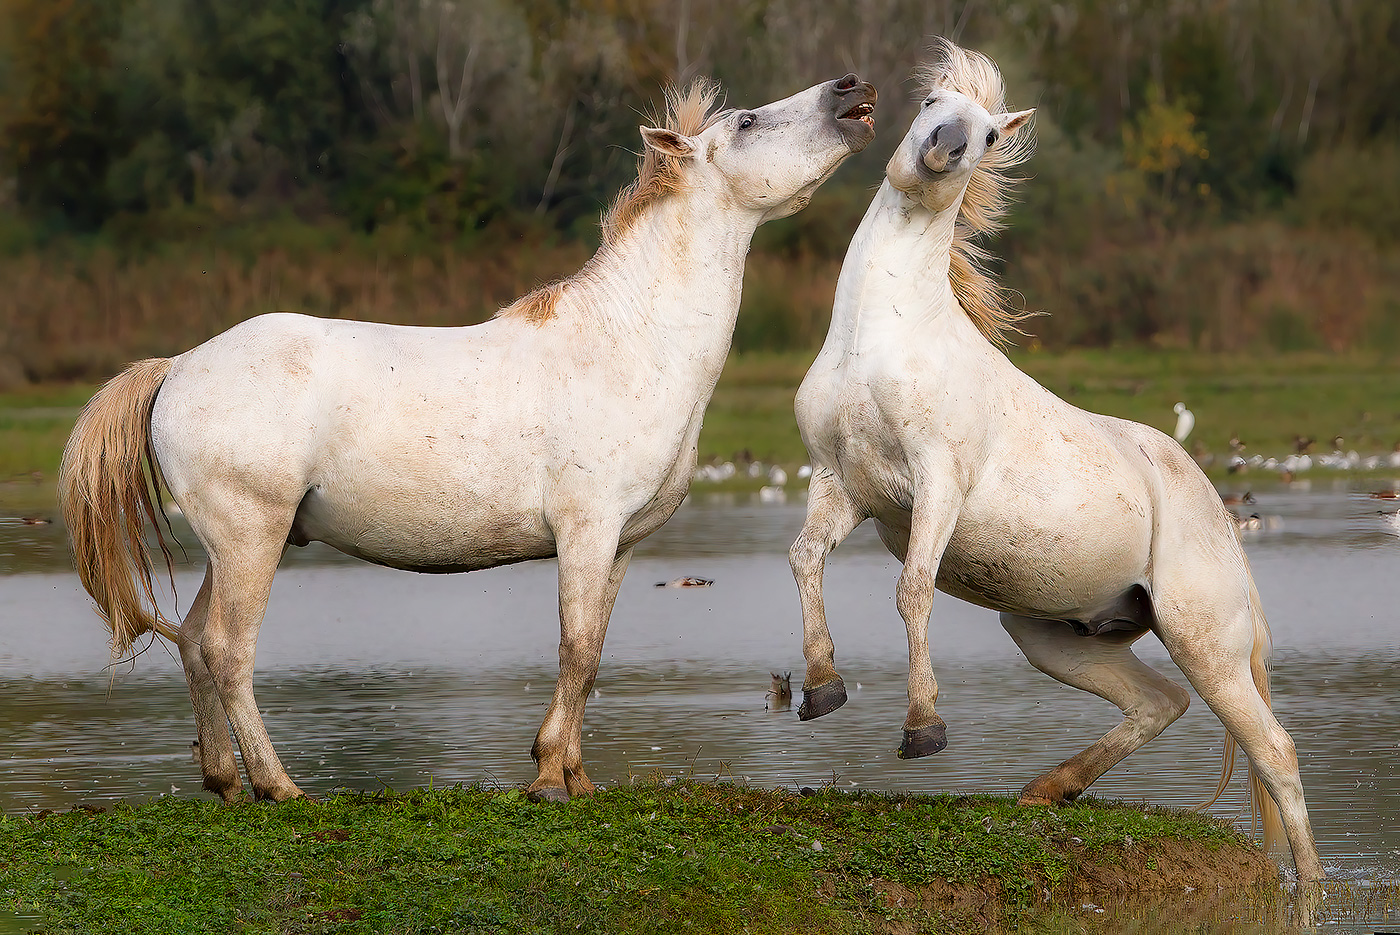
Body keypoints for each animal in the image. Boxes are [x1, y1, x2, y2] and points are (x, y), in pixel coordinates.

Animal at [63, 73, 873, 806]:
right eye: (746, 121)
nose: (851, 93)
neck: (627, 341)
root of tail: (178, 367)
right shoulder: (586, 531)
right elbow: (575, 651)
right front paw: (546, 779)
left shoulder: (618, 546)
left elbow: (592, 655)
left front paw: (575, 777)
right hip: (249, 538)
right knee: (228, 651)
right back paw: (278, 785)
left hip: (231, 546)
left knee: (193, 640)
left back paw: (226, 782)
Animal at [789, 38, 1321, 884]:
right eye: (931, 100)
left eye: (990, 134)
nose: (943, 150)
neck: (881, 337)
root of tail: (1215, 509)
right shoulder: (840, 483)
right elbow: (806, 559)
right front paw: (820, 688)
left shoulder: (936, 482)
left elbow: (912, 591)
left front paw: (924, 728)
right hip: (1052, 634)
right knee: (1158, 702)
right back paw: (1049, 788)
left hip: (1208, 644)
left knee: (1276, 751)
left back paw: (1312, 890)